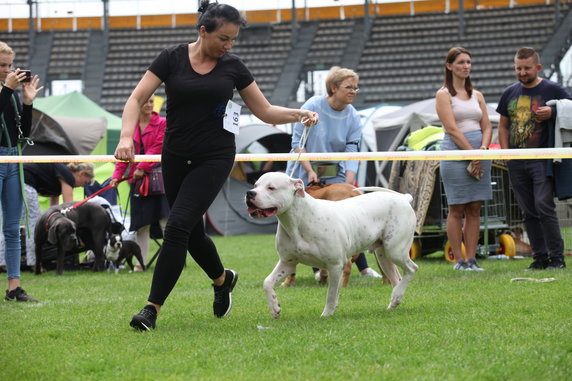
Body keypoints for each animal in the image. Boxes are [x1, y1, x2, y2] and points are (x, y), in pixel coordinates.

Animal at [244, 172, 418, 318]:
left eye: (271, 187)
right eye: (255, 185)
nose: (250, 193)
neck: (297, 221)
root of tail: (403, 198)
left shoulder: (335, 266)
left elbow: (331, 294)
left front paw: (326, 314)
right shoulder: (287, 263)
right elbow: (267, 282)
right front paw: (275, 307)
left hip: (395, 250)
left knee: (411, 269)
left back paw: (397, 295)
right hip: (383, 255)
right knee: (397, 278)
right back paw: (394, 300)